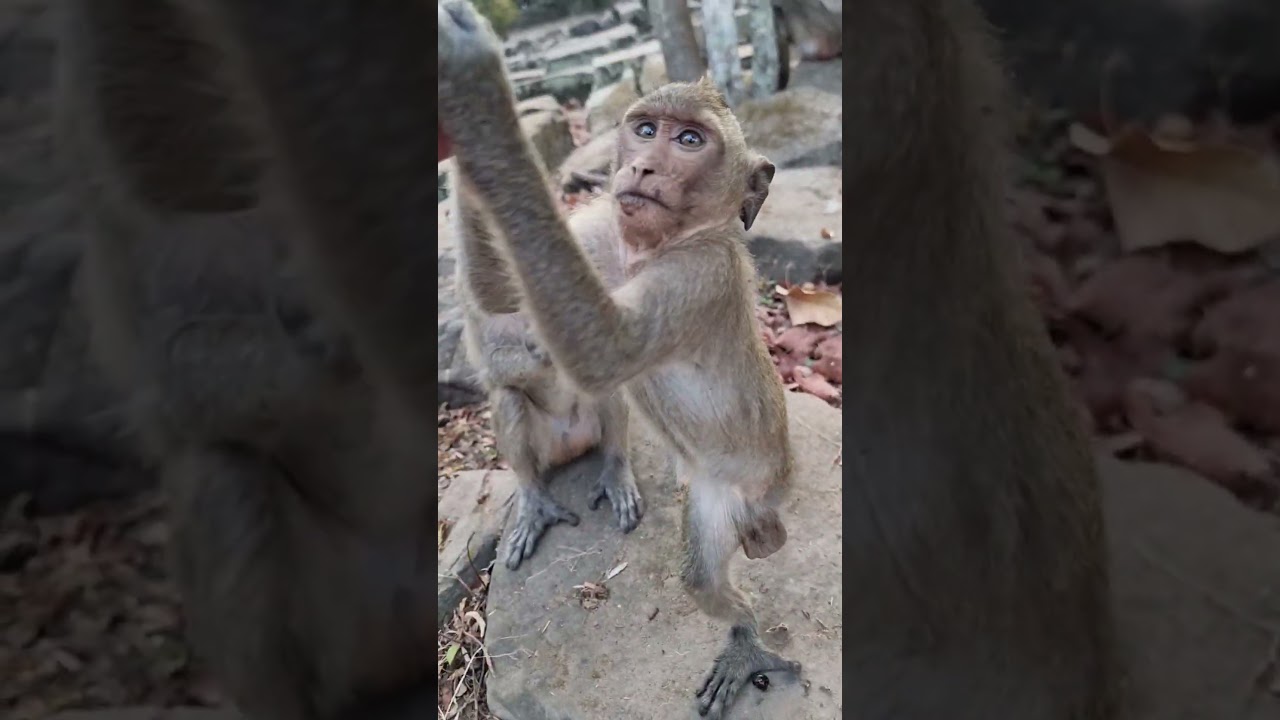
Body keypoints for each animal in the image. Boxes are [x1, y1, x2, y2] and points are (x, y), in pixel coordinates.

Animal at [451, 178, 645, 570]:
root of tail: (572, 444)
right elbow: (495, 364)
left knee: (606, 390)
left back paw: (616, 467)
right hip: (545, 446)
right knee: (508, 396)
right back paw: (533, 497)